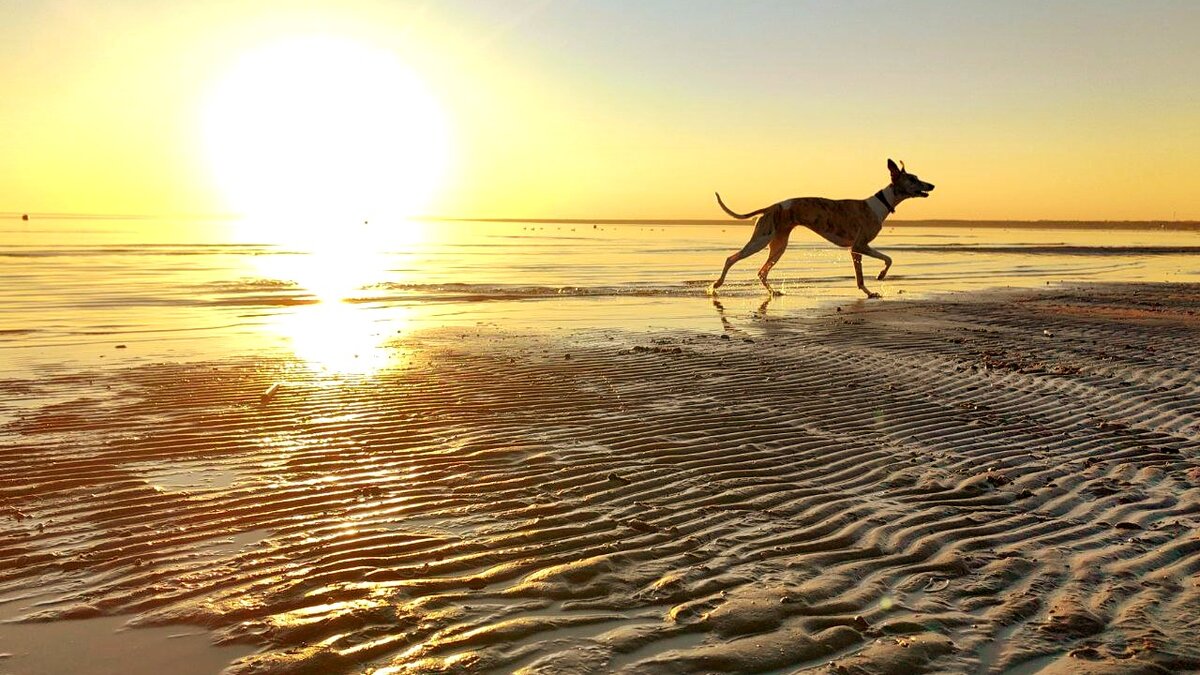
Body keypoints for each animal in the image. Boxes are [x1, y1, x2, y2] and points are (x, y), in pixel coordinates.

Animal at [705, 157, 931, 296]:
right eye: (913, 179)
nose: (932, 185)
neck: (881, 203)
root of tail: (771, 206)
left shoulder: (857, 249)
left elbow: (879, 265)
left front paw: (874, 285)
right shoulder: (858, 246)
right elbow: (881, 263)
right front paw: (878, 280)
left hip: (778, 246)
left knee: (762, 272)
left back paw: (773, 292)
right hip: (761, 240)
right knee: (731, 258)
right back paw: (715, 285)